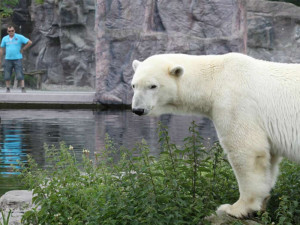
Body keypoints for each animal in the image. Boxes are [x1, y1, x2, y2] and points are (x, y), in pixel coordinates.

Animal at [131, 52, 300, 218]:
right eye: (134, 85)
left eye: (153, 86)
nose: (137, 109)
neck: (215, 79)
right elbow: (269, 159)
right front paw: (261, 205)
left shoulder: (234, 103)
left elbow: (247, 150)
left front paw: (234, 208)